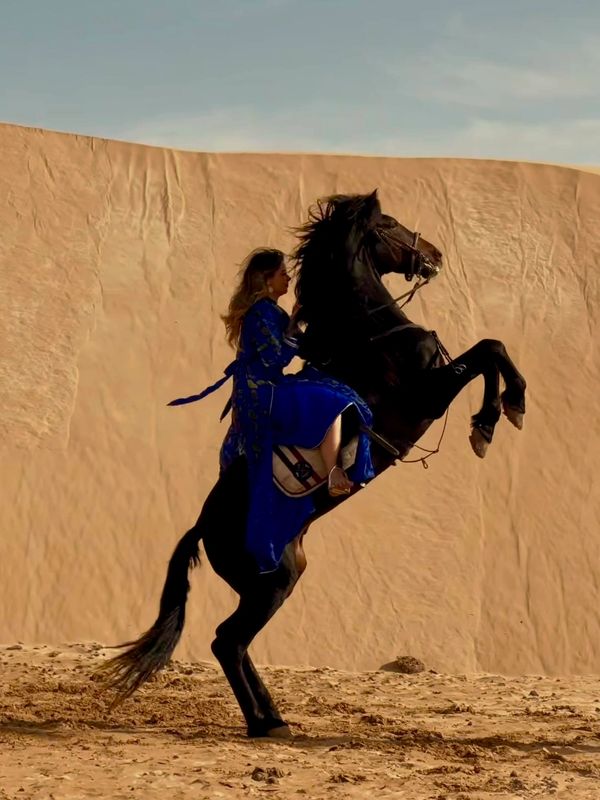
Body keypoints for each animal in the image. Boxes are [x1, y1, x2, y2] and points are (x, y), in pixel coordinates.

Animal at [99, 190, 526, 738]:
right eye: (390, 224)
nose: (434, 253)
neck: (372, 334)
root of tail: (202, 527)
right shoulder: (427, 392)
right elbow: (489, 350)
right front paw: (495, 418)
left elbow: (489, 351)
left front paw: (495, 417)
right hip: (272, 582)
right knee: (227, 640)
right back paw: (266, 724)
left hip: (278, 579)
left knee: (233, 642)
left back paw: (272, 717)